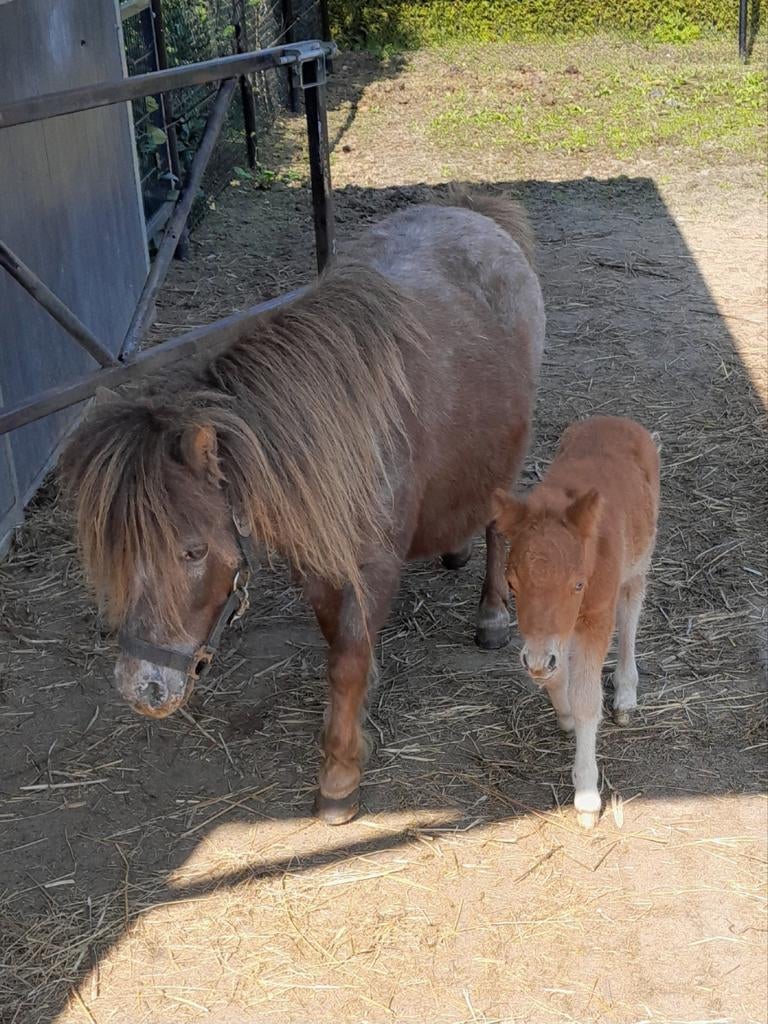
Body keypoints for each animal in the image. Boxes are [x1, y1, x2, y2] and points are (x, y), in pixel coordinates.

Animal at [61, 189, 546, 824]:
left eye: (192, 551)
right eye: (115, 554)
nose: (142, 688)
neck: (336, 433)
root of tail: (475, 213)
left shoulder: (373, 568)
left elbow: (347, 658)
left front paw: (339, 776)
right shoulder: (317, 563)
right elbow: (337, 642)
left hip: (508, 455)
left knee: (496, 526)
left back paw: (491, 614)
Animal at [491, 415, 660, 828]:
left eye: (578, 584)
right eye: (512, 584)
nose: (535, 660)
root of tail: (617, 419)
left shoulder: (595, 615)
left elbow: (588, 700)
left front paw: (586, 797)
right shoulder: (554, 632)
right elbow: (555, 674)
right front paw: (564, 712)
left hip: (639, 561)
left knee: (631, 612)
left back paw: (626, 695)